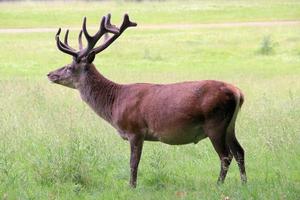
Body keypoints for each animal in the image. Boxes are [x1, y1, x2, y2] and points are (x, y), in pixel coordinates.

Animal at [48, 14, 247, 188]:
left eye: (69, 67)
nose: (50, 74)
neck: (114, 103)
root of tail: (238, 92)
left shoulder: (135, 130)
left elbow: (133, 163)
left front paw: (132, 186)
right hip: (229, 125)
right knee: (239, 151)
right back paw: (244, 183)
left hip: (215, 122)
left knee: (226, 156)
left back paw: (218, 185)